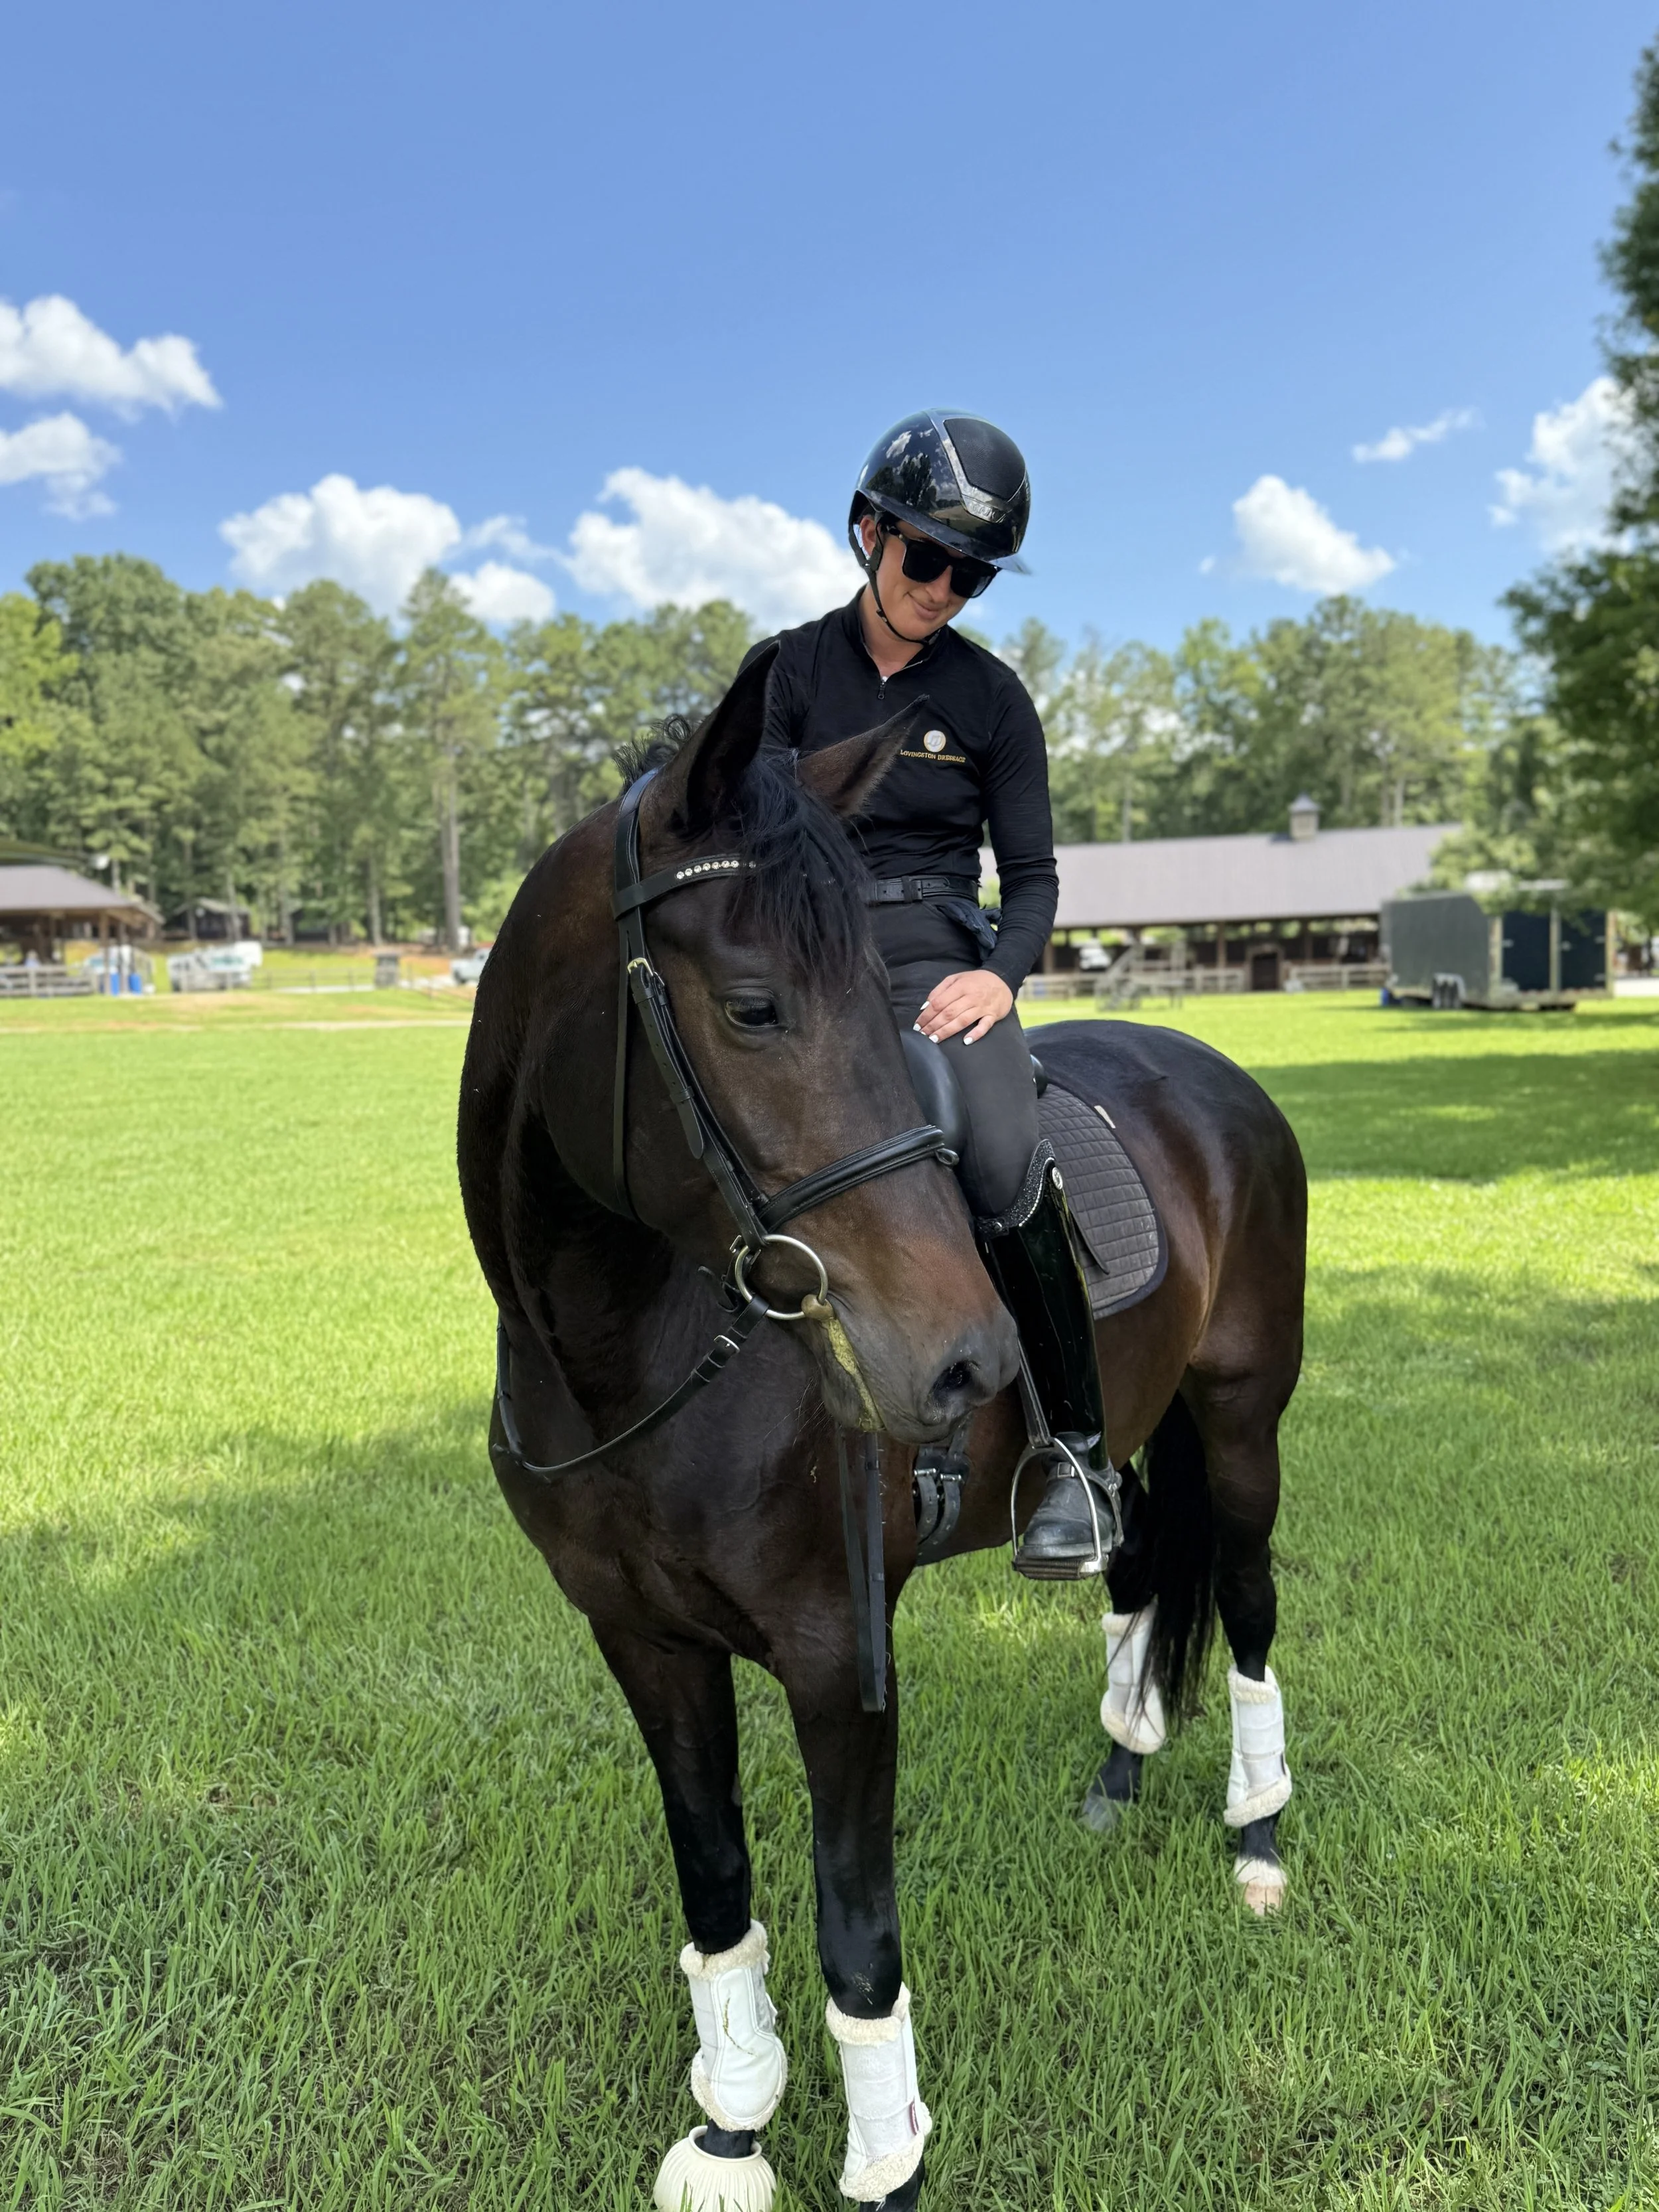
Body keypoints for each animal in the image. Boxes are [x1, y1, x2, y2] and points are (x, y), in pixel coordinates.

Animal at [457, 648, 1306, 2211]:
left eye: (873, 1000)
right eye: (751, 1007)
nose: (966, 1361)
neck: (627, 1360)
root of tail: (1212, 1071)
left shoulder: (834, 1651)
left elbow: (858, 1938)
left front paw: (883, 2163)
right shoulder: (641, 1639)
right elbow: (718, 1890)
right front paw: (733, 2129)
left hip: (1239, 1421)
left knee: (1248, 1595)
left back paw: (1257, 1834)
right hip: (1136, 1434)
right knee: (1142, 1568)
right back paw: (1118, 1772)